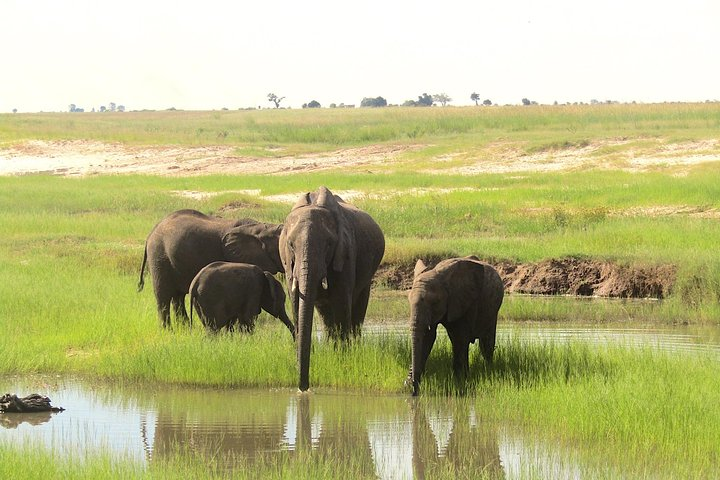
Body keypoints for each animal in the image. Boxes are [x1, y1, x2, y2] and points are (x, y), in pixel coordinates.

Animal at [137, 209, 283, 329]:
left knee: (178, 297)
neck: (260, 229)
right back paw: (169, 331)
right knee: (163, 297)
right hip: (159, 256)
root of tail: (150, 234)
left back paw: (184, 329)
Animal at [280, 186, 385, 392]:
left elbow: (342, 303)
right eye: (290, 245)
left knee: (357, 310)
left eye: (329, 244)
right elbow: (296, 305)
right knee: (326, 315)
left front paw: (343, 360)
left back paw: (352, 349)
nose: (303, 388)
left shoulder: (345, 253)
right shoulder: (288, 264)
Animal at [408, 256, 504, 396]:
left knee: (486, 344)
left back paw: (488, 369)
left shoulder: (465, 301)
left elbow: (460, 337)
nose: (413, 392)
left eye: (435, 302)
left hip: (493, 309)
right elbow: (428, 336)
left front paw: (461, 379)